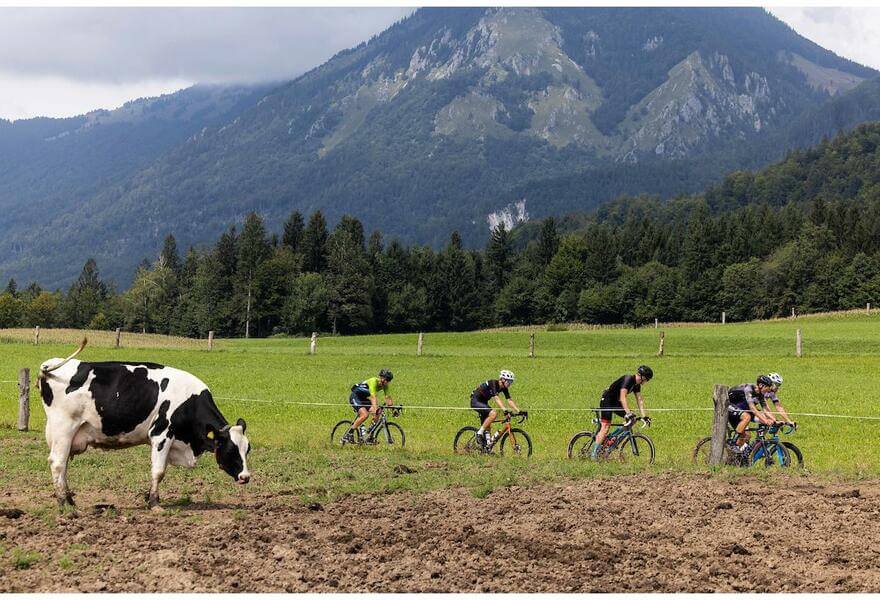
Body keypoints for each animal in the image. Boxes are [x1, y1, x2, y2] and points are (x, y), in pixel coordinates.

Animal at [38, 340, 251, 508]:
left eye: (247, 449)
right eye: (231, 450)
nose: (246, 476)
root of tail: (51, 364)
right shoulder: (161, 434)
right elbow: (158, 471)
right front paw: (154, 503)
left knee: (63, 464)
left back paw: (69, 499)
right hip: (64, 428)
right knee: (57, 462)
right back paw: (64, 503)